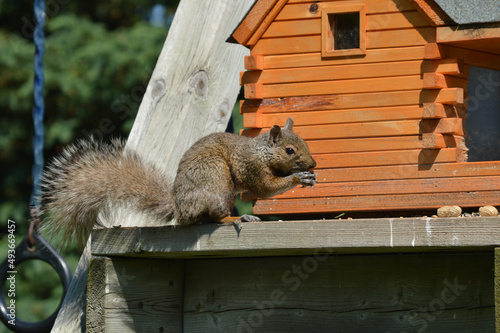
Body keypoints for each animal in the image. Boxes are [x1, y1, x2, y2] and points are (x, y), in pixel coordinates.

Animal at [42, 117, 316, 246]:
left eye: (305, 141)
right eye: (290, 150)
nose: (313, 164)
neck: (262, 152)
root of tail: (180, 207)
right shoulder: (252, 167)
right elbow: (266, 187)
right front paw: (298, 177)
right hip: (217, 179)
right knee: (215, 216)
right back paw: (237, 218)